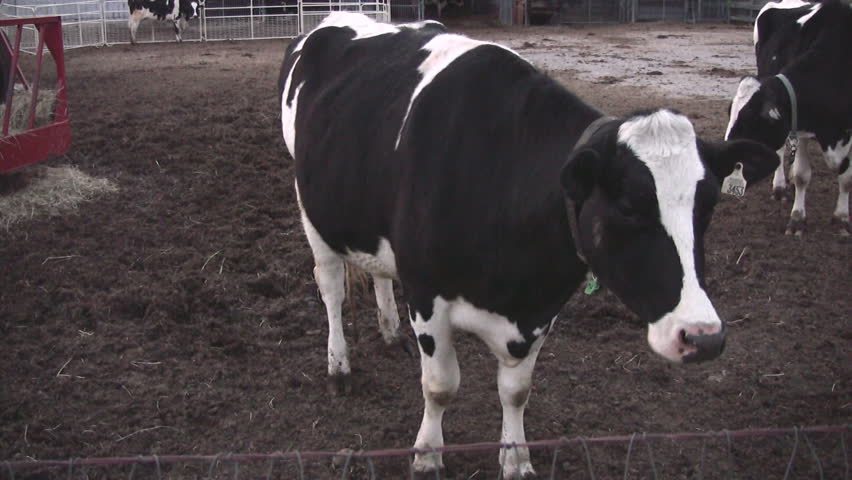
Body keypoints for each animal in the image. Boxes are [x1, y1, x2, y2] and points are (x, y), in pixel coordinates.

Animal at [279, 12, 778, 478]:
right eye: (629, 206)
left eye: (708, 205)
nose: (703, 337)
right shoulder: (425, 293)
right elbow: (440, 386)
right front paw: (427, 455)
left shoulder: (539, 307)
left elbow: (516, 391)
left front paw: (516, 458)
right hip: (310, 206)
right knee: (331, 287)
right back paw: (339, 367)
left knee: (378, 270)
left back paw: (389, 333)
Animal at [725, 0, 852, 235]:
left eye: (749, 120)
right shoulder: (799, 123)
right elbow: (802, 175)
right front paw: (797, 219)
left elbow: (846, 177)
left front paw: (841, 219)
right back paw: (780, 188)